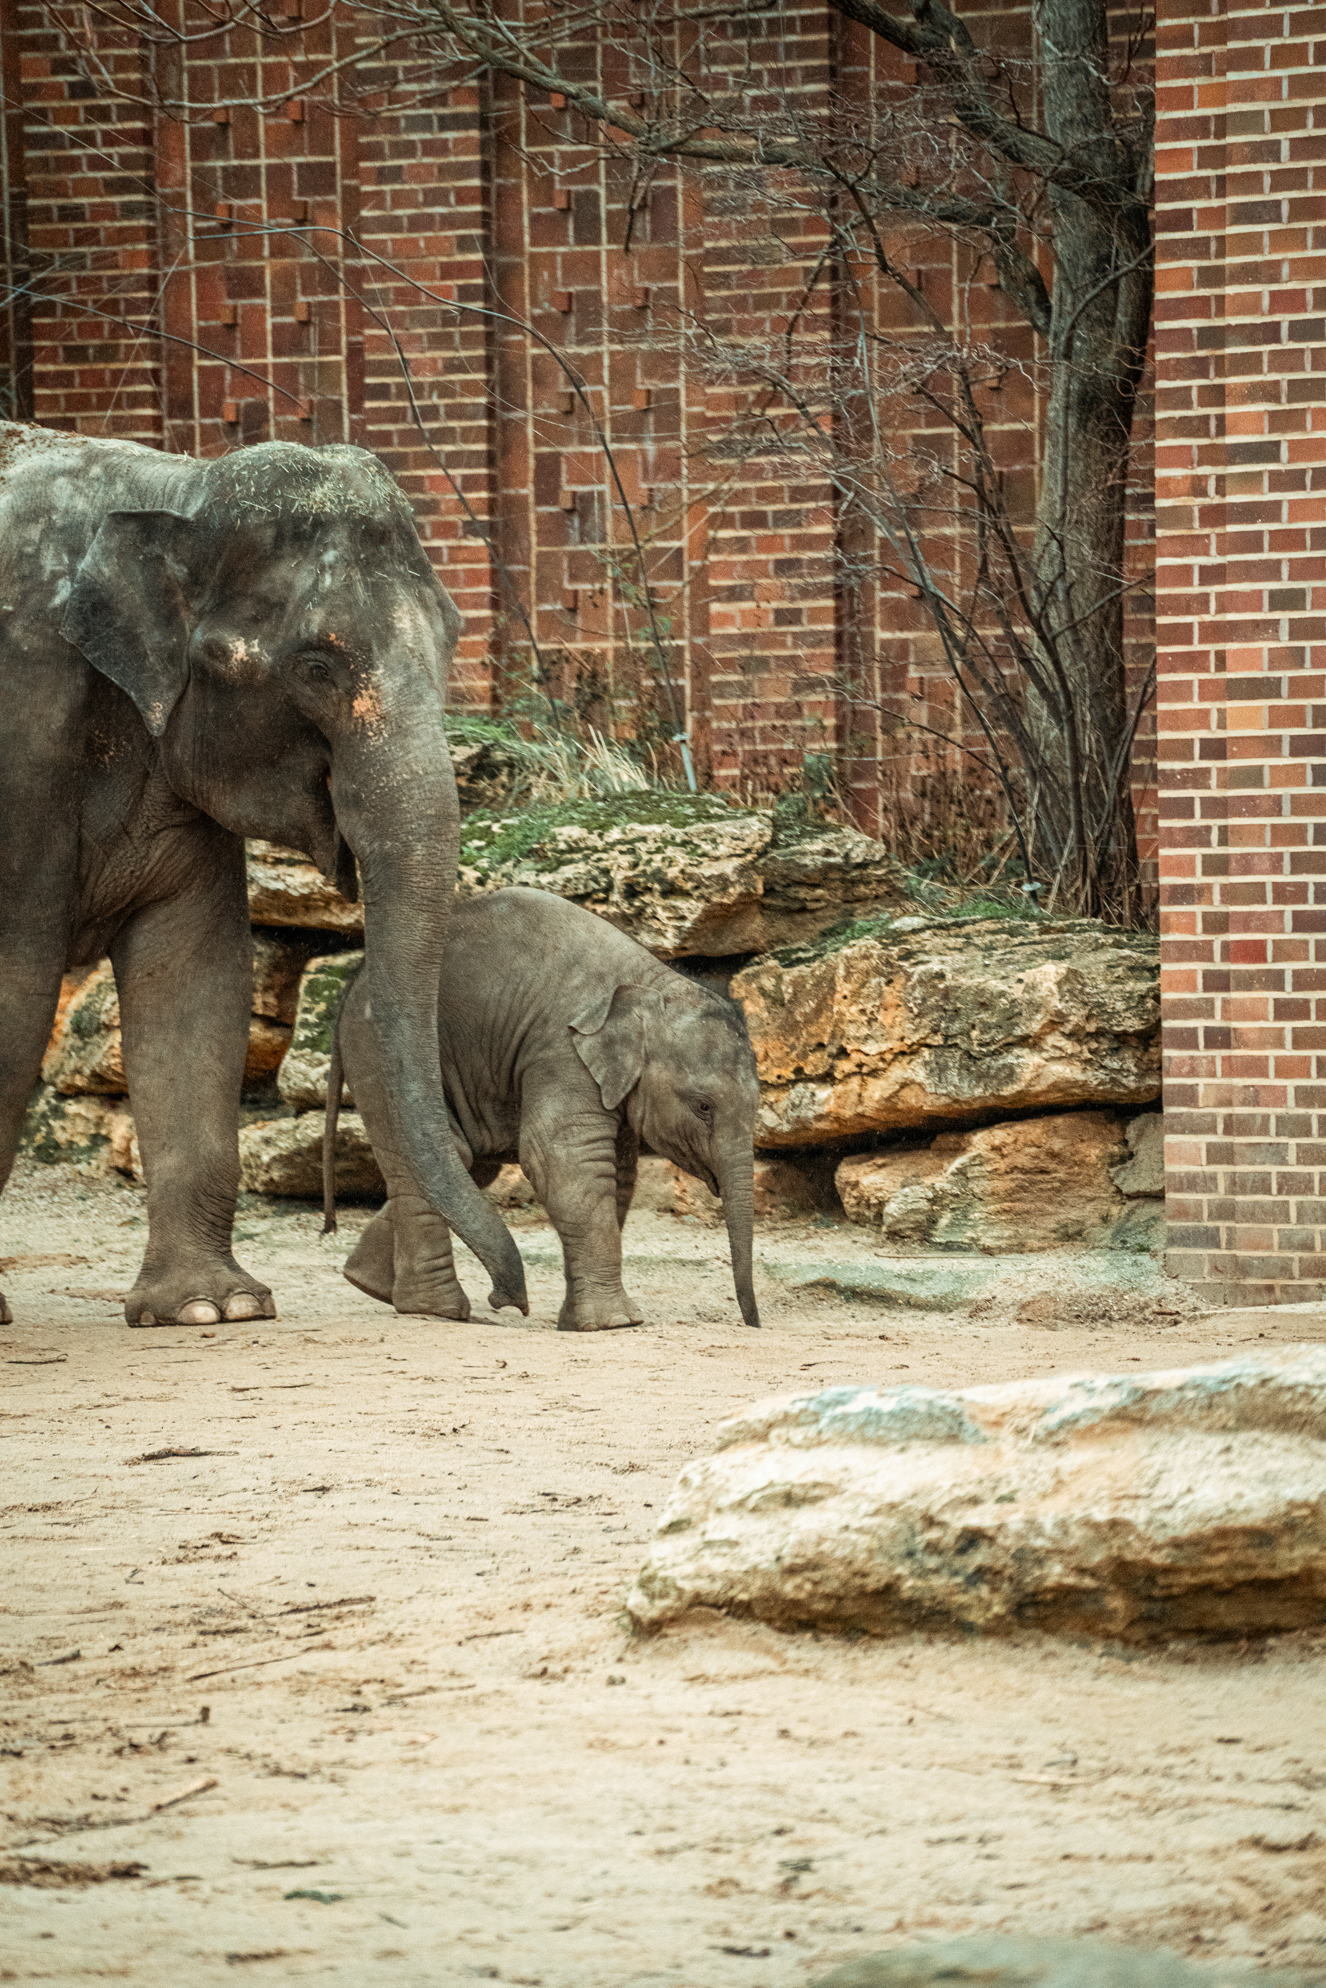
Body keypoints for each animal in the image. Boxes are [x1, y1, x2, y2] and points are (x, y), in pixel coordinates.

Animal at [0, 423, 525, 1329]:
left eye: (453, 634)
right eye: (316, 667)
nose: (509, 1297)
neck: (171, 486)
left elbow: (197, 975)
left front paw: (213, 1309)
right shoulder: (20, 715)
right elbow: (18, 986)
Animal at [323, 886, 761, 1330]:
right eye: (703, 1107)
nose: (752, 1322)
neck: (651, 985)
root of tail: (354, 983)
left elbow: (617, 1174)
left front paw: (579, 1322)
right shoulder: (560, 1051)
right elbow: (562, 1158)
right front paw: (615, 1324)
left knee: (465, 1162)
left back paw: (368, 1282)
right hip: (373, 1048)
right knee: (436, 1152)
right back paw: (434, 1309)